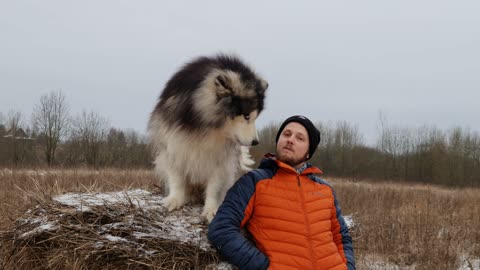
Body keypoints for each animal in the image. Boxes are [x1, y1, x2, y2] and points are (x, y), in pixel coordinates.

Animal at [148, 54, 268, 221]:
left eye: (256, 117)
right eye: (246, 116)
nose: (255, 142)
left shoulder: (220, 159)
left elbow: (214, 186)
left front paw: (211, 208)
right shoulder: (173, 143)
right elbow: (176, 177)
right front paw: (175, 199)